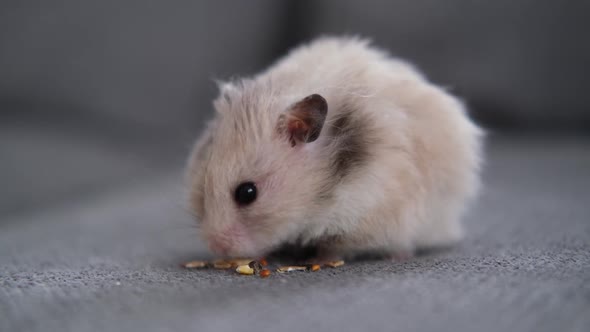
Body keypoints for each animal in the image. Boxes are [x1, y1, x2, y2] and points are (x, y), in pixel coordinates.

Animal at [186, 35, 486, 260]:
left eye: (247, 193)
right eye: (202, 189)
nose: (215, 246)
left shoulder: (371, 210)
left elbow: (339, 245)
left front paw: (320, 258)